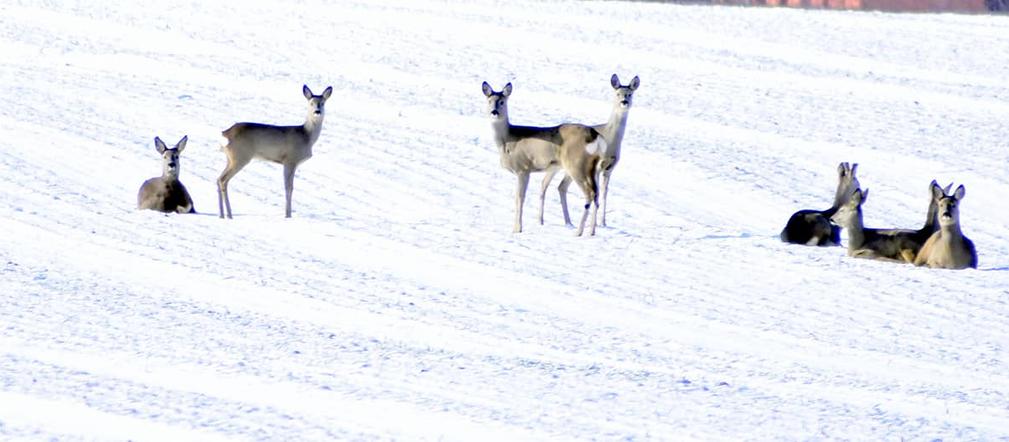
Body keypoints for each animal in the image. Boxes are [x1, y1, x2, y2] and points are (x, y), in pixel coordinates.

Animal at [217, 83, 334, 217]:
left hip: (230, 158)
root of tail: (225, 133)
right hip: (240, 156)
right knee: (223, 180)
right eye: (311, 103)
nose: (317, 111)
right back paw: (229, 215)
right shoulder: (290, 160)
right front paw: (288, 215)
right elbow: (289, 188)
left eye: (322, 103)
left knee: (218, 178)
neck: (306, 136)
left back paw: (222, 214)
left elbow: (290, 187)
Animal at [482, 81, 601, 236]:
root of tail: (594, 135)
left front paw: (517, 229)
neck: (507, 141)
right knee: (597, 194)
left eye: (502, 101)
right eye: (489, 101)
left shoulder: (523, 168)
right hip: (592, 168)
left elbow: (519, 198)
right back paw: (591, 231)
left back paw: (579, 232)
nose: (494, 112)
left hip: (577, 164)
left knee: (590, 193)